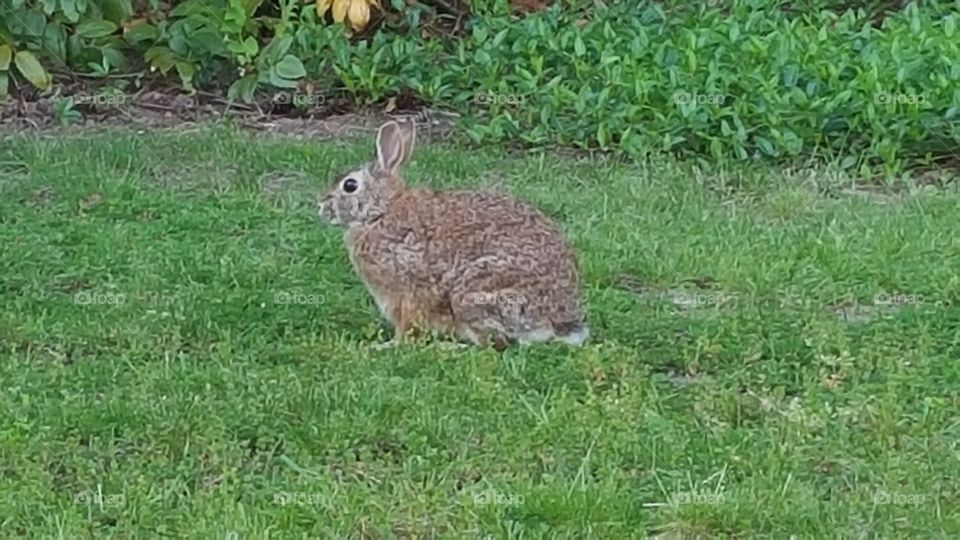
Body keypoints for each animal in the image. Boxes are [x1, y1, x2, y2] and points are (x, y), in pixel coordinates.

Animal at [316, 119, 584, 350]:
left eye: (350, 185)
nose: (321, 207)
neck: (380, 213)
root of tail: (559, 322)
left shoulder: (408, 289)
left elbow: (408, 328)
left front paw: (386, 346)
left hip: (474, 294)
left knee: (492, 345)